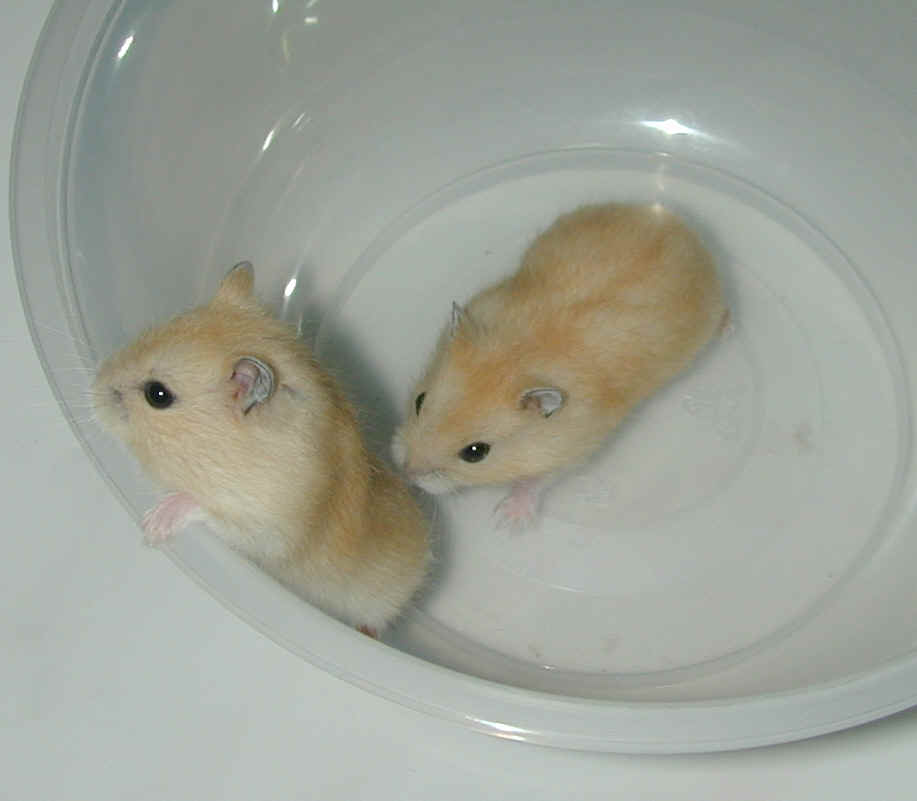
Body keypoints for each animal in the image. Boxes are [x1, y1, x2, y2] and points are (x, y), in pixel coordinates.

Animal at [391, 202, 727, 527]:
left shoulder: (569, 449)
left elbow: (536, 481)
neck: (517, 357)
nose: (407, 471)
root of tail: (683, 229)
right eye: (419, 401)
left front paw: (507, 520)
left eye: (476, 453)